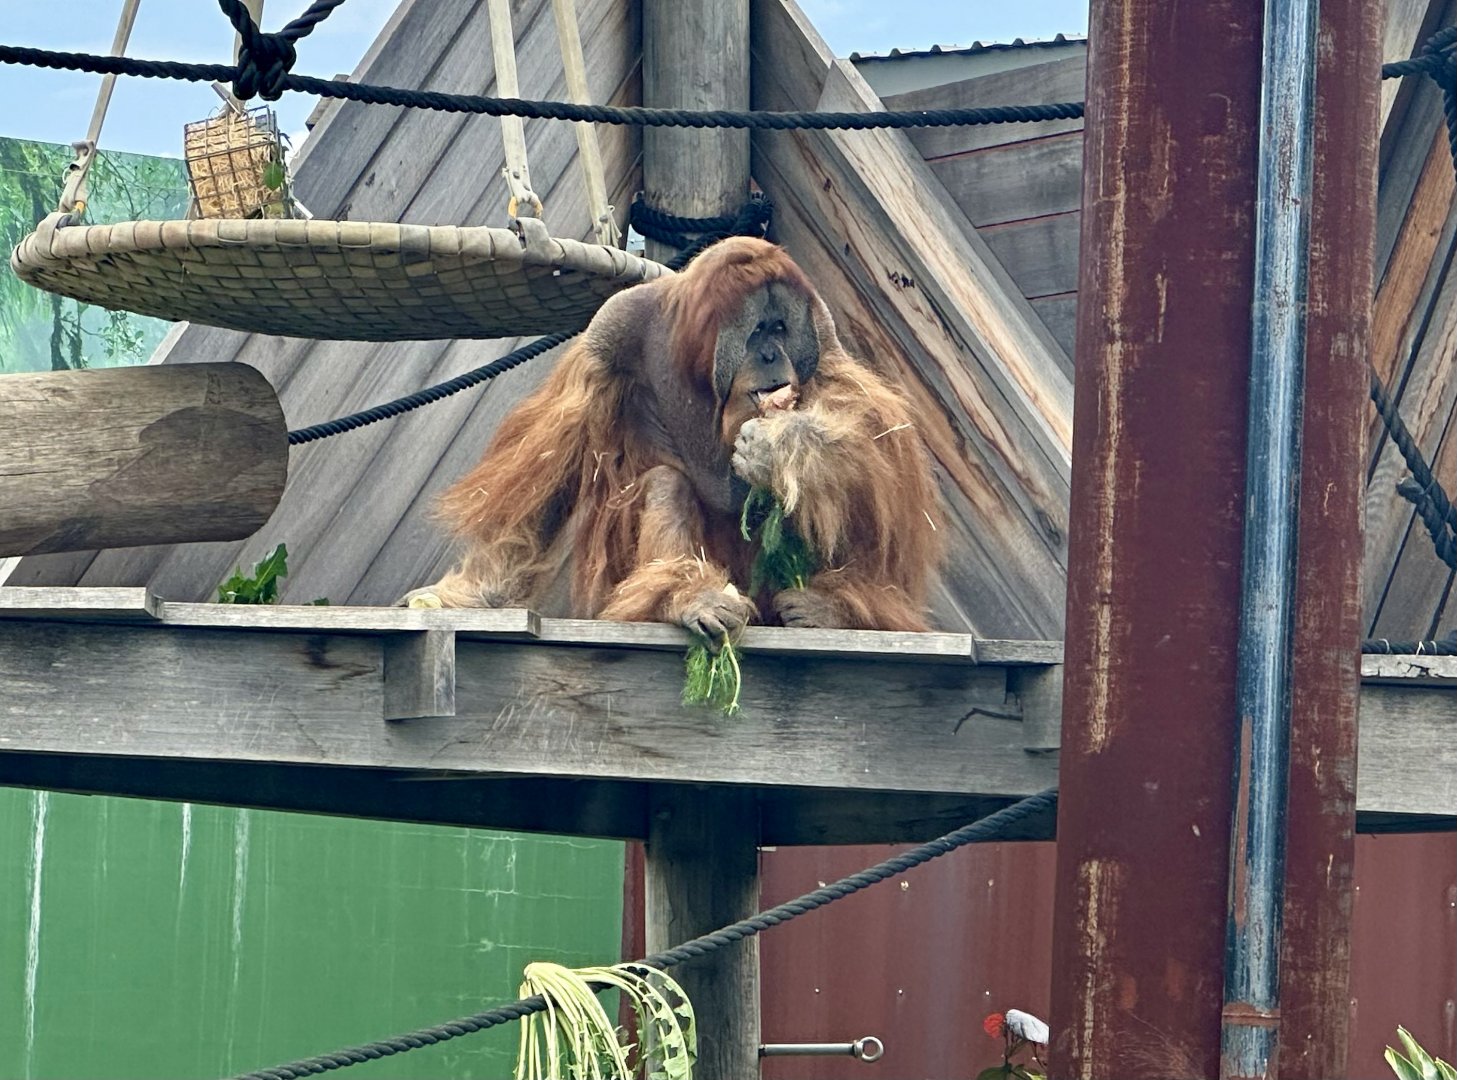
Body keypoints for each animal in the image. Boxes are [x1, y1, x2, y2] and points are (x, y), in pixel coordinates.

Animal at [400, 236, 943, 638]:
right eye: (758, 332)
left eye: (781, 328)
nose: (773, 355)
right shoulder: (613, 327)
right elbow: (551, 472)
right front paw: (475, 595)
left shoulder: (822, 335)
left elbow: (874, 429)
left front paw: (781, 446)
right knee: (667, 484)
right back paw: (690, 598)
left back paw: (835, 610)